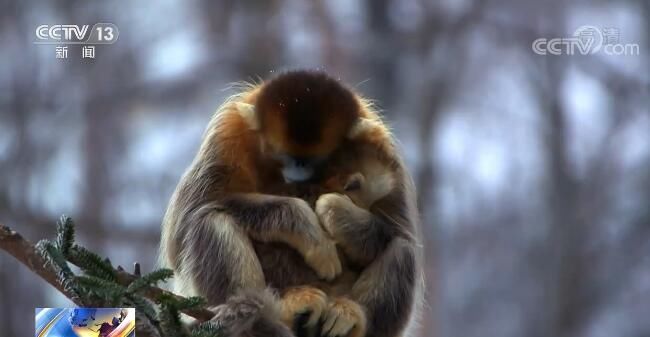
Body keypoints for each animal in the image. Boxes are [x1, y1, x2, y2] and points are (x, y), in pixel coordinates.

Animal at [161, 69, 426, 334]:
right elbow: (188, 217)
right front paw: (310, 233)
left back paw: (352, 316)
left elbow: (400, 229)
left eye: (317, 160)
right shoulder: (229, 133)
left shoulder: (380, 144)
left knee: (401, 248)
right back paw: (276, 311)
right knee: (208, 219)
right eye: (284, 155)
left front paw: (337, 211)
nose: (299, 169)